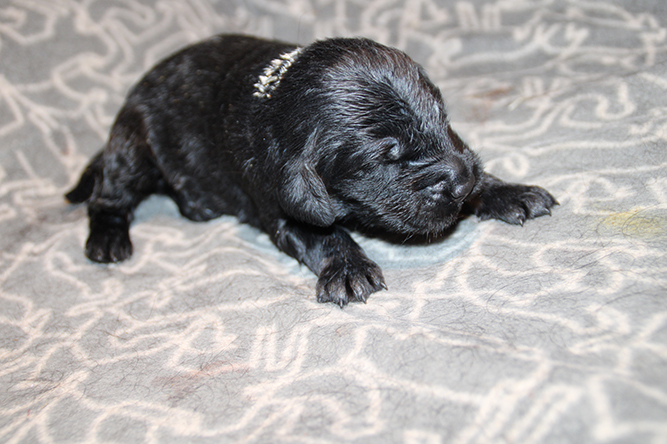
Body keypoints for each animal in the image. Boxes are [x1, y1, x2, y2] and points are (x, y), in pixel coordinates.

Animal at [66, 34, 557, 307]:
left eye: (443, 117)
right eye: (388, 156)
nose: (460, 181)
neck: (276, 101)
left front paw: (507, 190)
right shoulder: (279, 198)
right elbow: (325, 233)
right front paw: (349, 269)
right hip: (133, 146)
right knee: (108, 196)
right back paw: (108, 240)